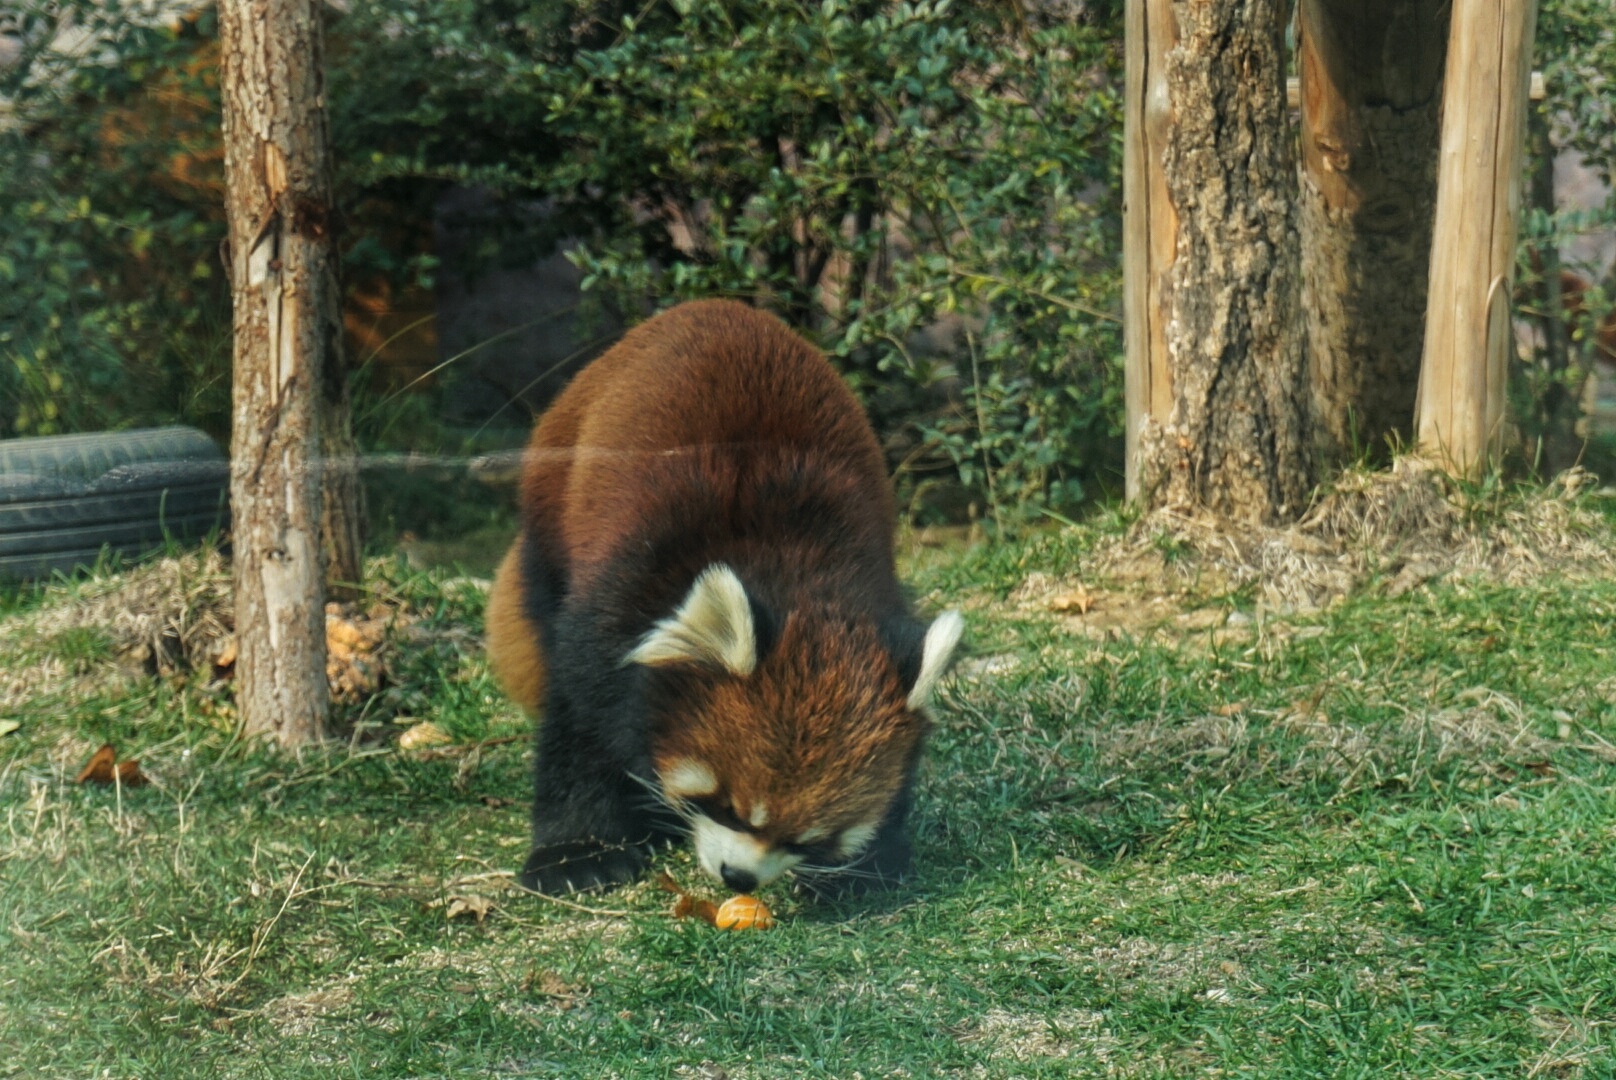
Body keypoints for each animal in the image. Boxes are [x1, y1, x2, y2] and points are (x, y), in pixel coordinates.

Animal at [481, 299, 956, 898]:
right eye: (724, 806)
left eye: (808, 840)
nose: (740, 878)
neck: (794, 570)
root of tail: (716, 306)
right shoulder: (624, 591)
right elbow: (580, 728)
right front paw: (579, 852)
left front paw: (869, 864)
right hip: (553, 510)